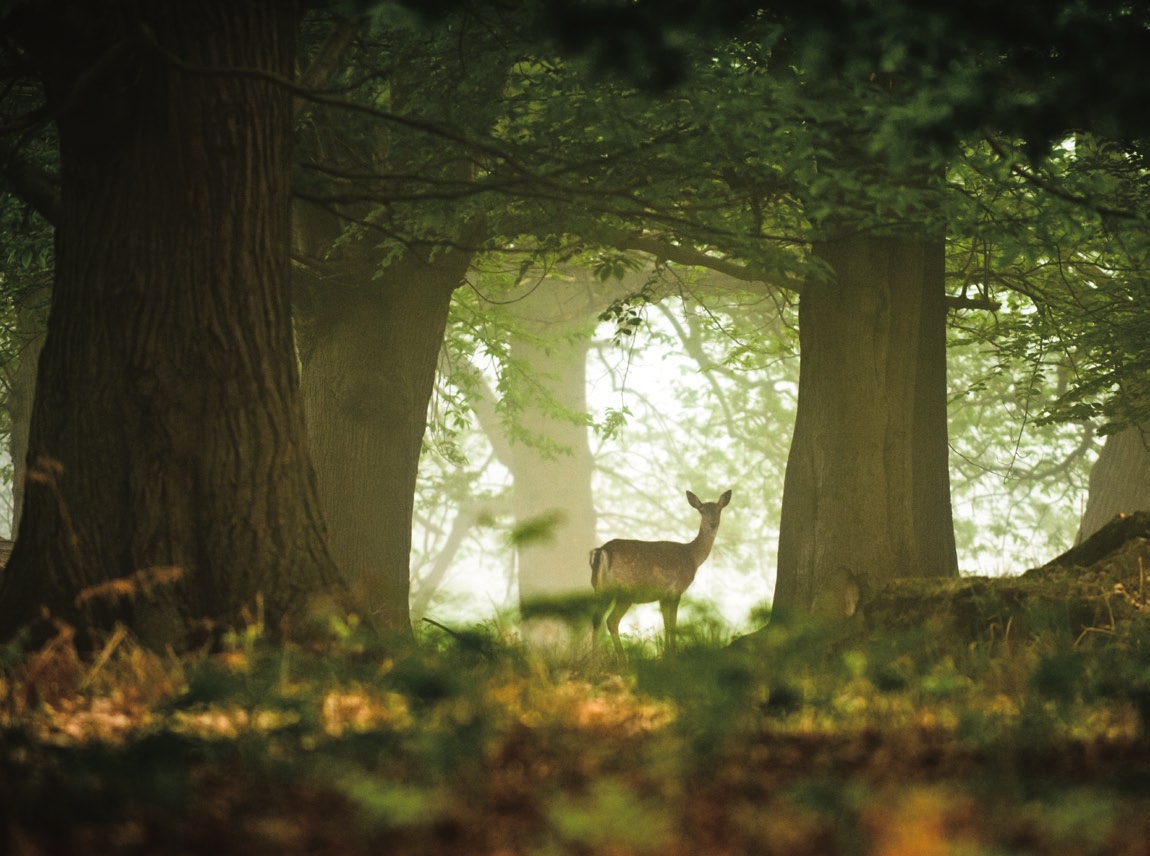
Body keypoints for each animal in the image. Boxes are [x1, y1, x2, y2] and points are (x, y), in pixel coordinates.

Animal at [588, 487, 731, 653]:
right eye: (701, 510)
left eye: (719, 509)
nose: (713, 524)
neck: (692, 557)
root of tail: (602, 550)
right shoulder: (676, 590)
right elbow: (672, 625)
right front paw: (673, 653)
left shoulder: (662, 595)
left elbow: (666, 625)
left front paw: (666, 653)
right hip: (626, 591)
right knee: (611, 620)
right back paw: (622, 658)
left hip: (599, 588)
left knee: (596, 619)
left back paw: (594, 656)